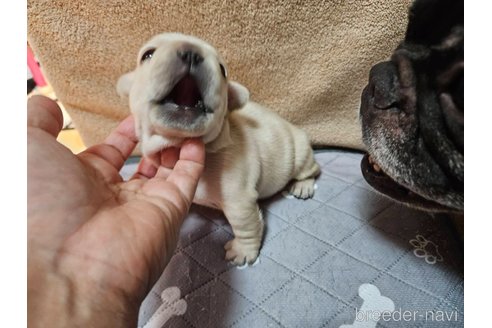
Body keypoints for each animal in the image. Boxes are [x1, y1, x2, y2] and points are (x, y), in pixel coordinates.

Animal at [117, 32, 320, 264]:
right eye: (147, 55)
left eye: (223, 70)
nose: (191, 52)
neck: (177, 143)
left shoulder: (239, 200)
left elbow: (246, 225)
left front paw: (242, 252)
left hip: (300, 153)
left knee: (310, 170)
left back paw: (303, 186)